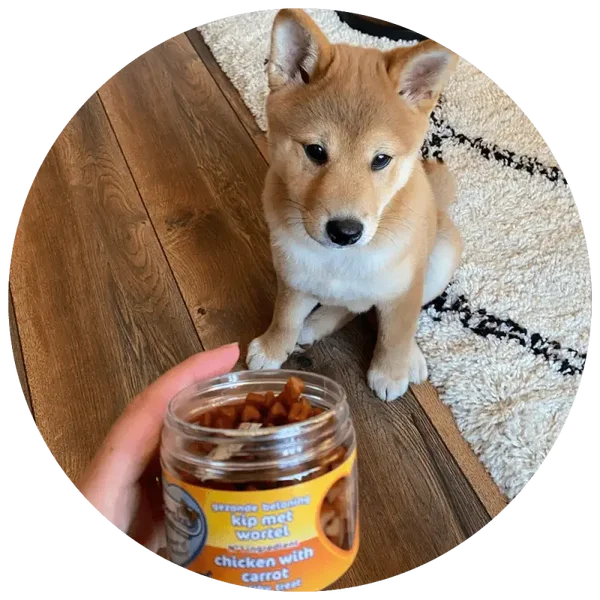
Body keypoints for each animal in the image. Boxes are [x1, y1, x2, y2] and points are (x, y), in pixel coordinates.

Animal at [246, 8, 463, 402]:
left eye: (381, 159)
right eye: (316, 151)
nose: (345, 232)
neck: (342, 259)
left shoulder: (404, 288)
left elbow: (396, 333)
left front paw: (391, 371)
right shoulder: (293, 272)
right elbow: (284, 315)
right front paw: (272, 347)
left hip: (440, 258)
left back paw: (411, 358)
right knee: (347, 306)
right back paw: (316, 322)